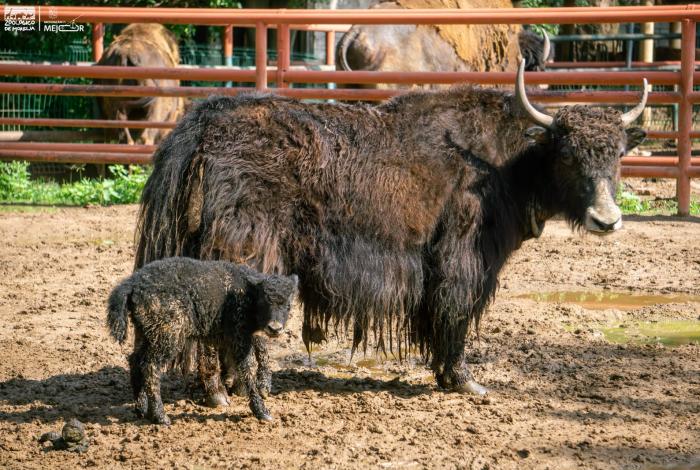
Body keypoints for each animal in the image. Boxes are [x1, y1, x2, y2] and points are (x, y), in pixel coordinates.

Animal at [135, 61, 646, 404]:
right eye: (568, 155)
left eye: (618, 153)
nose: (608, 219)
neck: (508, 161)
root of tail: (203, 124)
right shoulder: (463, 259)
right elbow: (455, 314)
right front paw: (464, 381)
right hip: (242, 249)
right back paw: (221, 392)